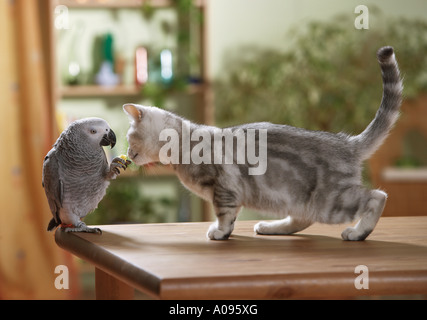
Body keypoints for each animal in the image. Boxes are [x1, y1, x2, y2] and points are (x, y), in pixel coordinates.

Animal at [123, 45, 402, 240]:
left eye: (129, 138)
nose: (128, 153)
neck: (184, 143)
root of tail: (347, 142)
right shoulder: (231, 193)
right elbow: (231, 216)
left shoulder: (224, 189)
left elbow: (224, 215)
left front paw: (219, 232)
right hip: (302, 200)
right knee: (301, 220)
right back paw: (270, 227)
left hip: (331, 202)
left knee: (377, 196)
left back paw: (357, 232)